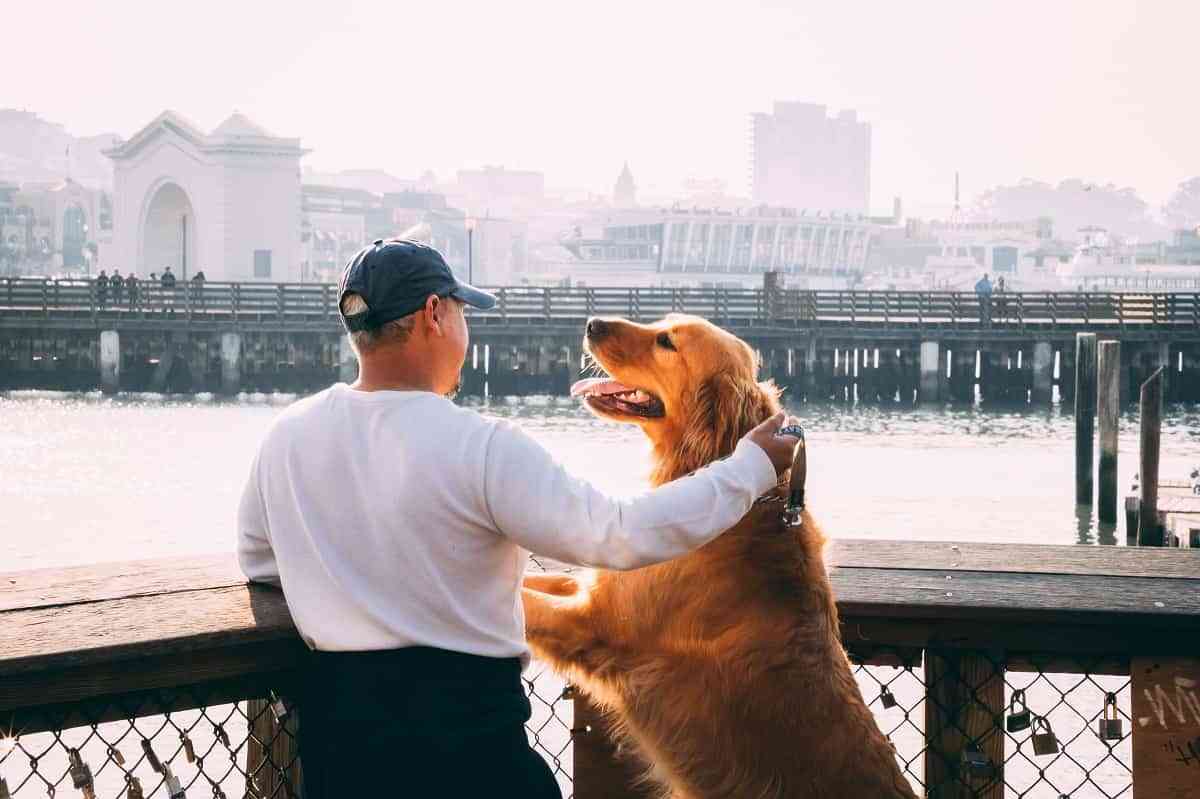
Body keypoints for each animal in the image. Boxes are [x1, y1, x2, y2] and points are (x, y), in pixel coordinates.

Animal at [520, 311, 912, 796]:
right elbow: (533, 581)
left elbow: (525, 603)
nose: (591, 323)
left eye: (666, 342)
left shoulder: (593, 624)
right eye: (661, 322)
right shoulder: (594, 590)